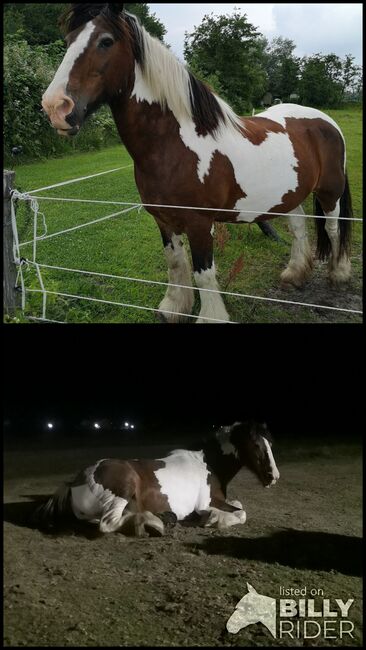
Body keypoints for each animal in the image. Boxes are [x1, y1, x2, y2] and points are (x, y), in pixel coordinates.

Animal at [35, 418, 280, 536]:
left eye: (270, 442)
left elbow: (239, 505)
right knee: (107, 524)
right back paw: (153, 523)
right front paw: (213, 520)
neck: (208, 464)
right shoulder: (208, 502)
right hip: (124, 488)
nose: (274, 477)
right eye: (256, 445)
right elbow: (241, 513)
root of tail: (74, 482)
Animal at [41, 2, 354, 322]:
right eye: (69, 40)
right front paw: (174, 308)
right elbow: (176, 262)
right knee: (299, 228)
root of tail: (326, 122)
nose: (55, 107)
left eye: (106, 41)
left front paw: (210, 315)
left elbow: (203, 273)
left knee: (333, 228)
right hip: (290, 195)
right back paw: (294, 274)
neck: (175, 146)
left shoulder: (200, 223)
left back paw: (339, 275)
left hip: (330, 192)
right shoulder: (164, 220)